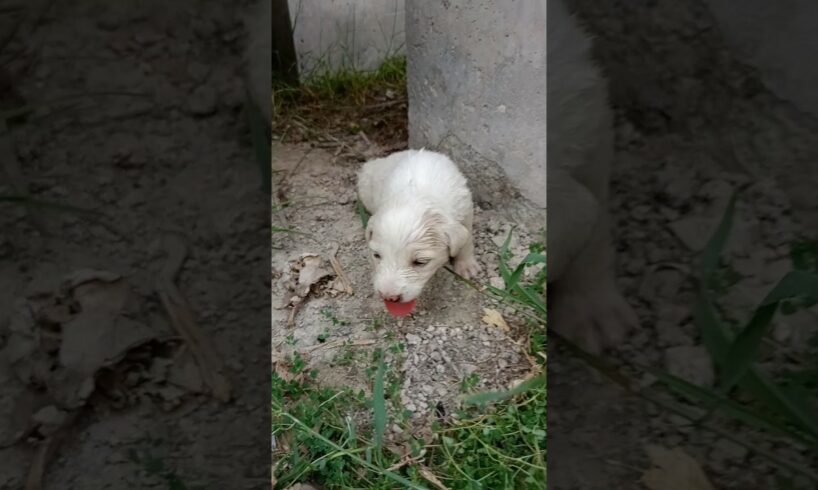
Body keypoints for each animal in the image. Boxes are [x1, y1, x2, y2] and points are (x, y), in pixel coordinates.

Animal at [356, 148, 478, 306]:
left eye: (420, 262)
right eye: (376, 255)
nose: (389, 297)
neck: (417, 195)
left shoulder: (466, 208)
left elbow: (467, 240)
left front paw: (466, 266)